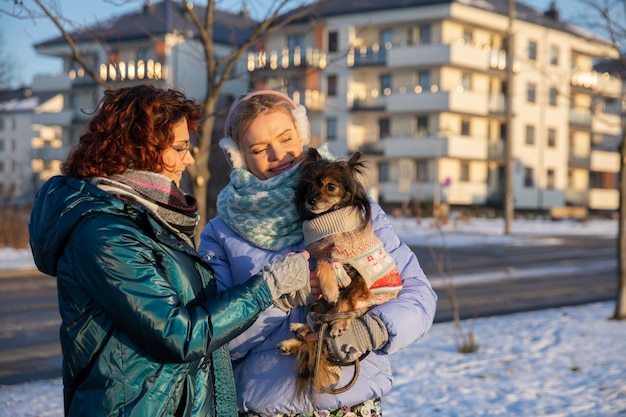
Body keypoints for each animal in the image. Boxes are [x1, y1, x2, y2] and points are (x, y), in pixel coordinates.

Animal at [276, 148, 402, 398]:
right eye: (309, 186)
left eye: (330, 186)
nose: (311, 200)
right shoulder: (326, 257)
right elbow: (323, 265)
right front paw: (329, 287)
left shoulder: (360, 278)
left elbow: (344, 299)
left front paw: (338, 321)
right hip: (318, 308)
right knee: (315, 333)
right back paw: (296, 335)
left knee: (324, 335)